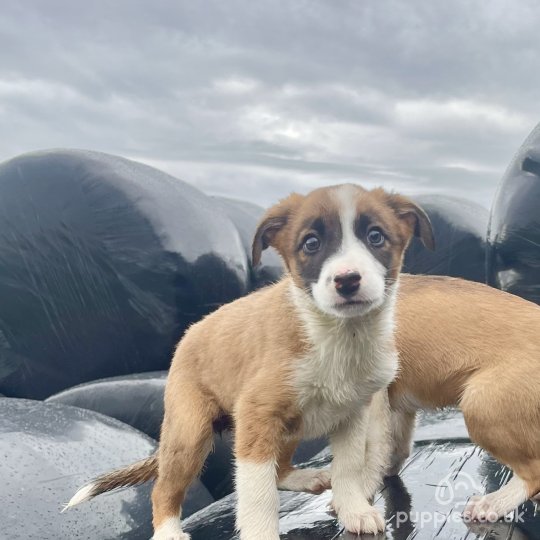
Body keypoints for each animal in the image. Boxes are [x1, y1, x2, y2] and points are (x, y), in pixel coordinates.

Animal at [64, 184, 434, 536]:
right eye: (311, 243)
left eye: (376, 236)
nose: (347, 280)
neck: (338, 335)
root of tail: (188, 334)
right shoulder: (256, 417)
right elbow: (258, 496)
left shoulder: (352, 414)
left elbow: (349, 467)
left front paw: (354, 510)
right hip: (190, 434)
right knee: (164, 489)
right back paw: (168, 532)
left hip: (287, 426)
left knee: (280, 467)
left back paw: (303, 477)